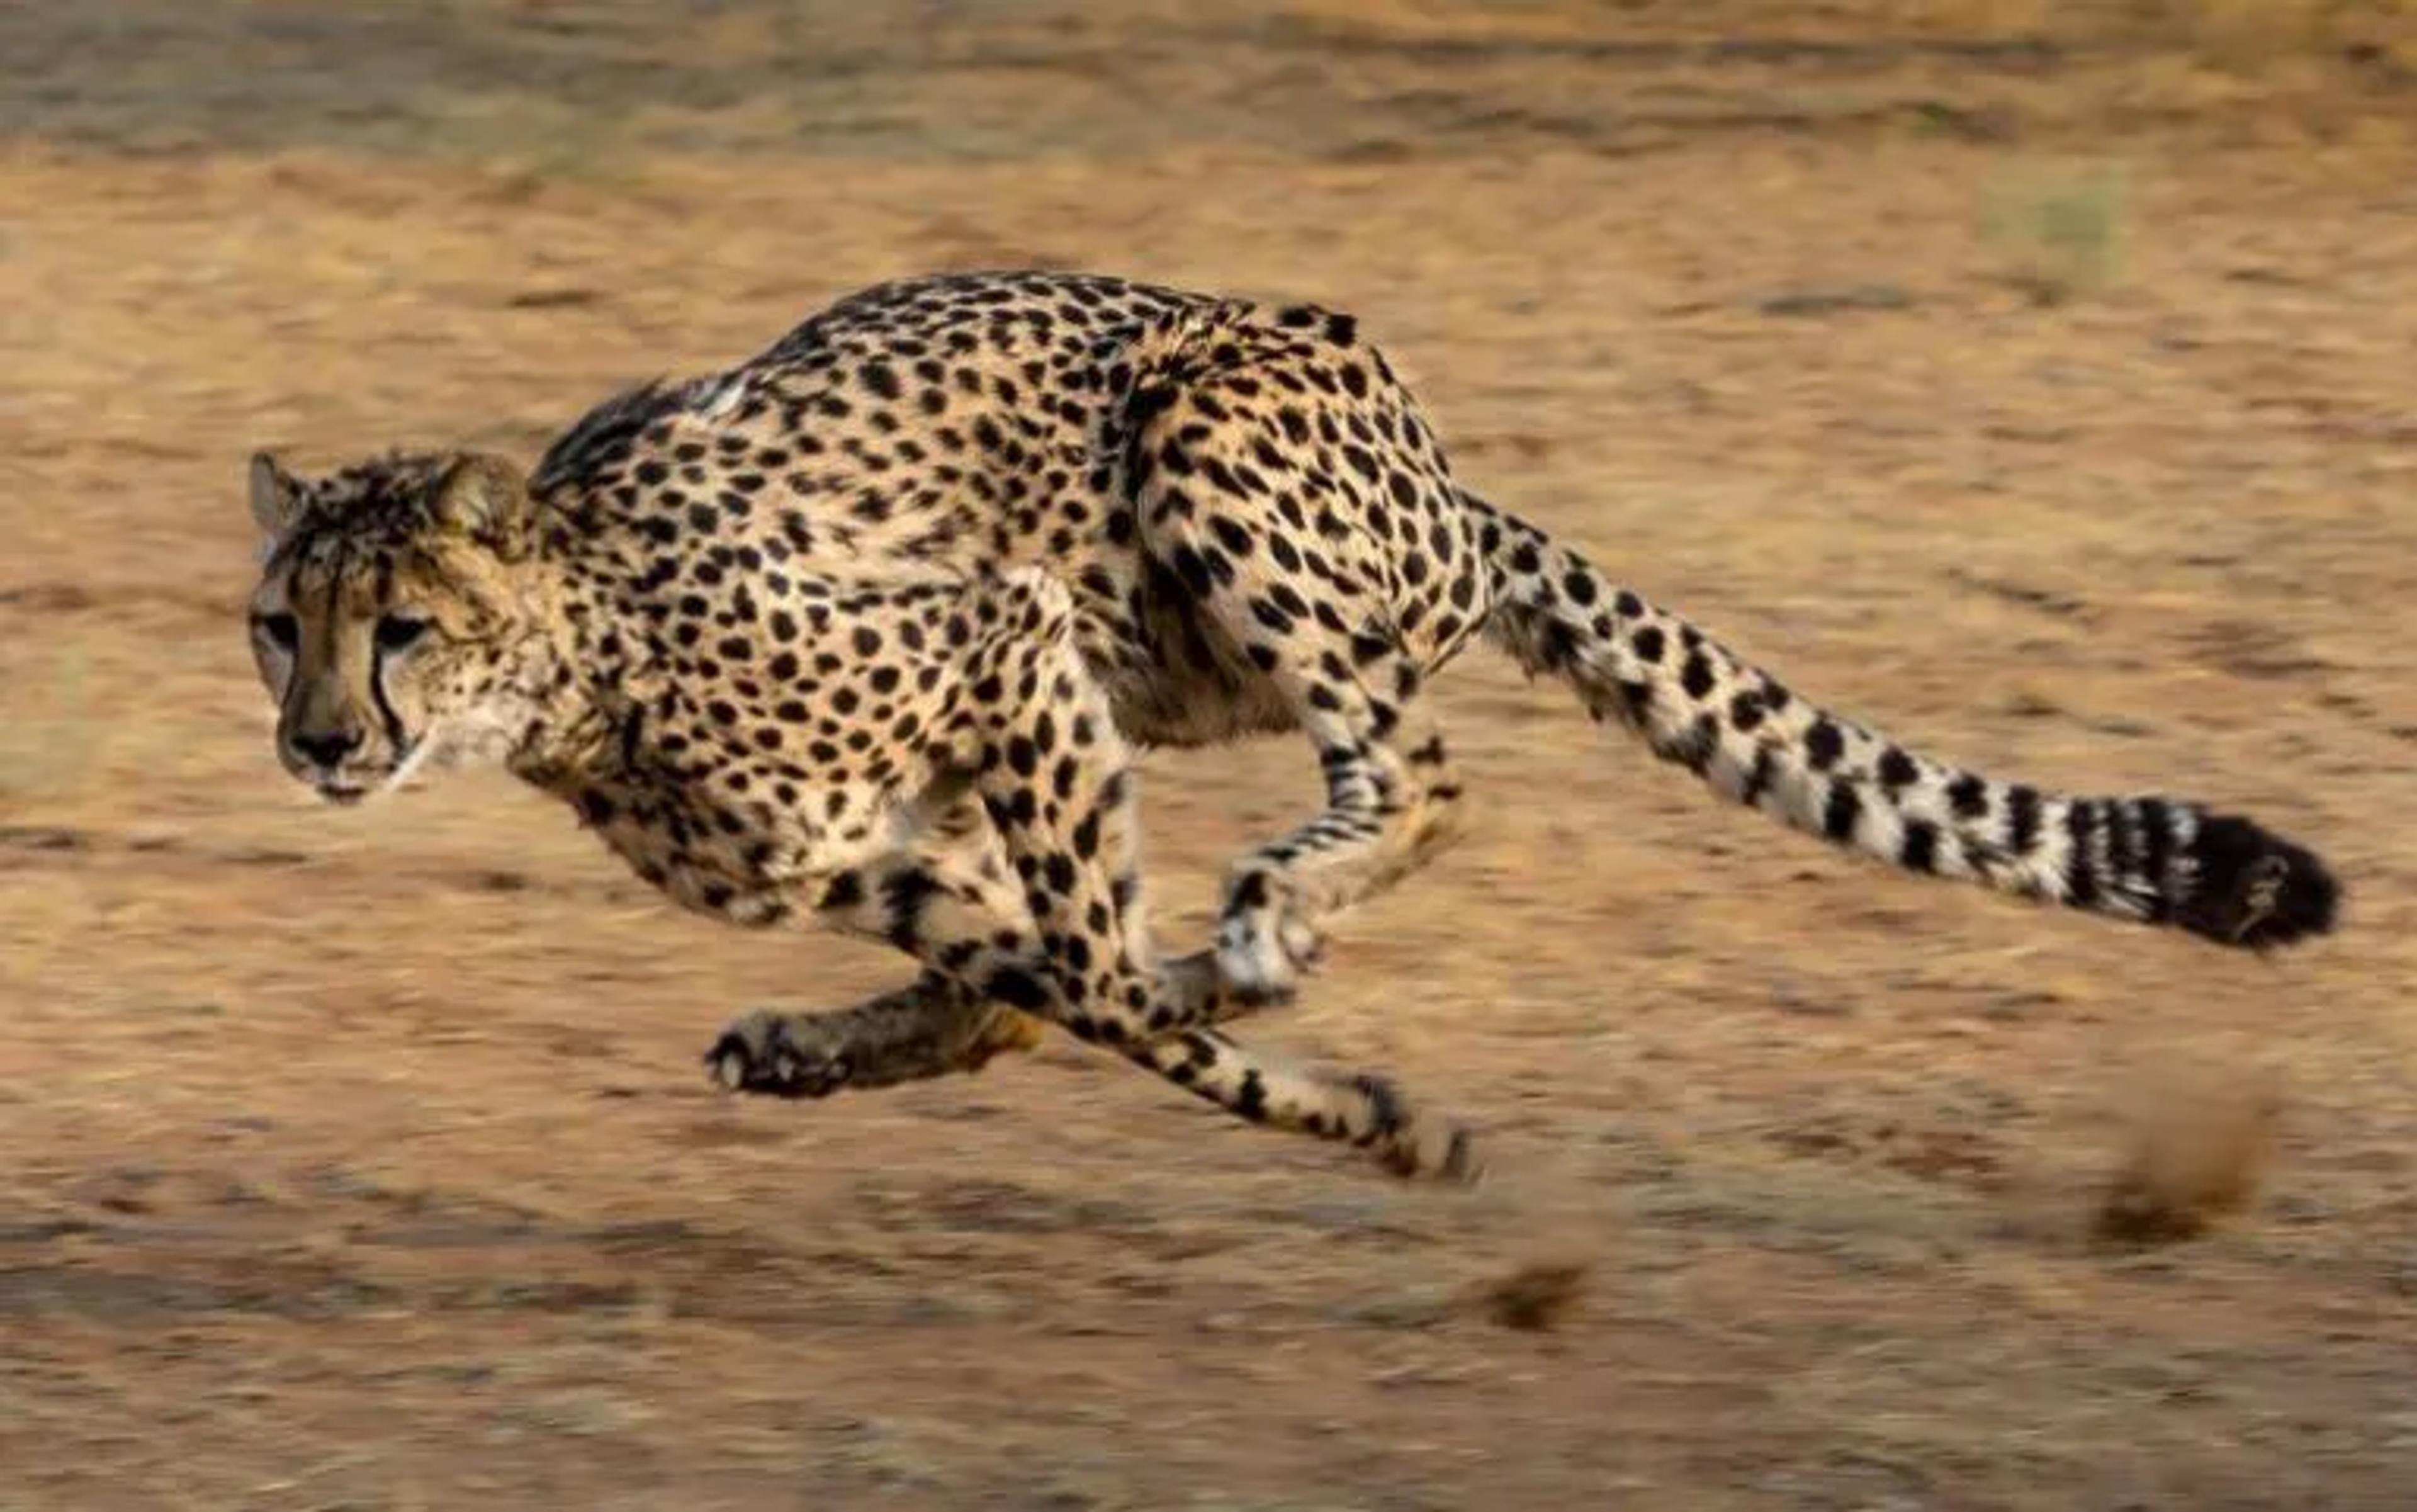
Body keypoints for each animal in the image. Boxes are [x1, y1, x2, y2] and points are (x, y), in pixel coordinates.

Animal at [243, 269, 2339, 1183]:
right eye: (280, 626)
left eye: (400, 627)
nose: (319, 743)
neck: (582, 655)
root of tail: (1446, 472)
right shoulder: (878, 841)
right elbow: (1049, 988)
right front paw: (1335, 1091)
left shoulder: (1003, 637)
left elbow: (1100, 980)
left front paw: (1355, 1101)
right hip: (1160, 656)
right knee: (1050, 972)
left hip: (1203, 458)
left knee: (1418, 770)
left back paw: (1273, 915)